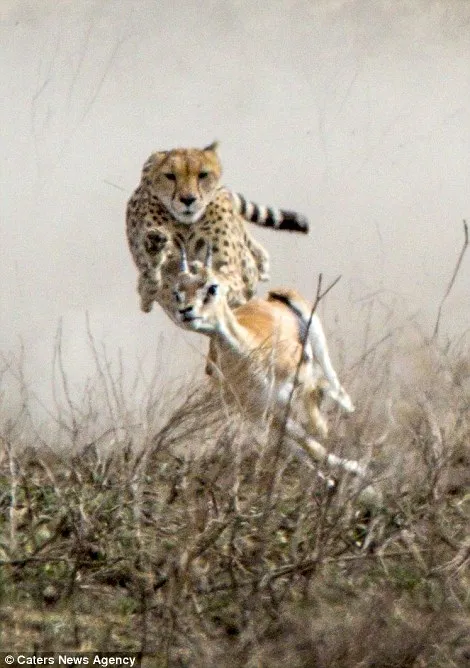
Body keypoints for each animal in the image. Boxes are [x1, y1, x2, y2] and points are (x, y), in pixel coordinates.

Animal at [126, 141, 308, 320]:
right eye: (170, 176)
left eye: (203, 174)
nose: (188, 199)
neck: (186, 225)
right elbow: (154, 283)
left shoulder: (231, 275)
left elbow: (226, 282)